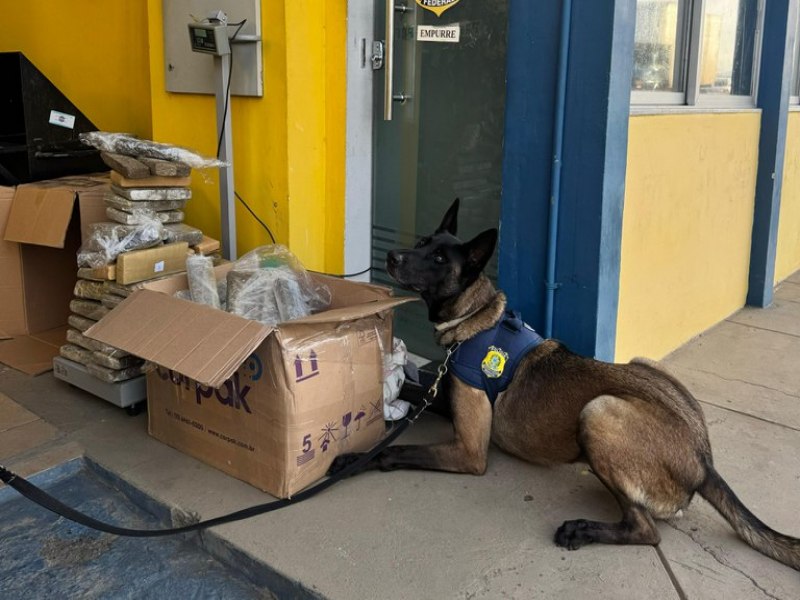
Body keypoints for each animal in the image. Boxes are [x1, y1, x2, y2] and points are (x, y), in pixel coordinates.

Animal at [330, 199, 800, 568]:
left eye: (441, 260)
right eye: (422, 243)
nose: (392, 256)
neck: (473, 317)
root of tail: (704, 461)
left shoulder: (469, 452)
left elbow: (394, 451)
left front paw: (351, 459)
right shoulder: (446, 397)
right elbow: (413, 391)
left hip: (600, 410)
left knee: (646, 530)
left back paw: (583, 529)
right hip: (643, 365)